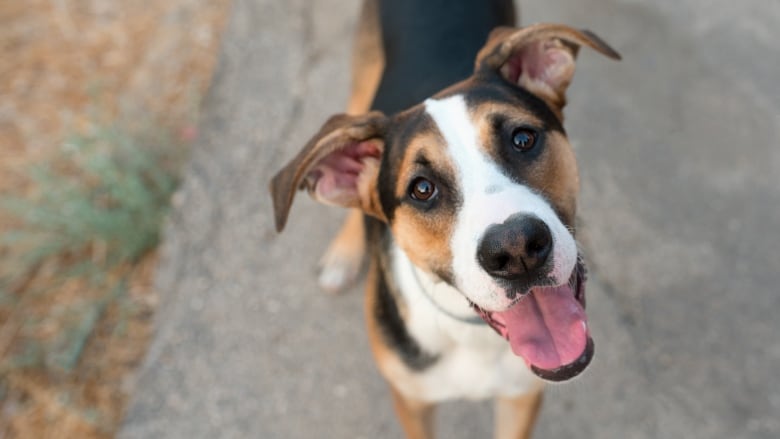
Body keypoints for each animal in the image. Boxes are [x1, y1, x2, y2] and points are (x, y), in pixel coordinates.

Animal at [272, 0, 620, 436]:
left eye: (523, 138)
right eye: (422, 189)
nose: (516, 249)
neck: (471, 333)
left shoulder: (521, 397)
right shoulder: (412, 399)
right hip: (362, 86)